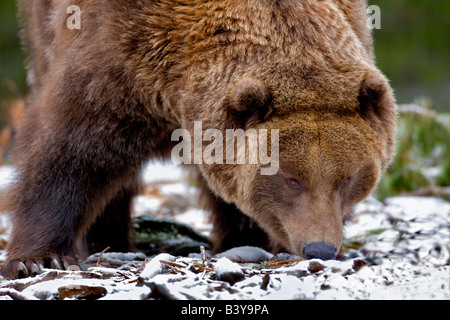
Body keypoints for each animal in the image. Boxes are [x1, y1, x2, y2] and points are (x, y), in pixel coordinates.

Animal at [0, 0, 394, 278]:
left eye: (347, 179)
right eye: (292, 179)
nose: (320, 248)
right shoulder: (117, 59)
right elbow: (72, 151)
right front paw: (39, 258)